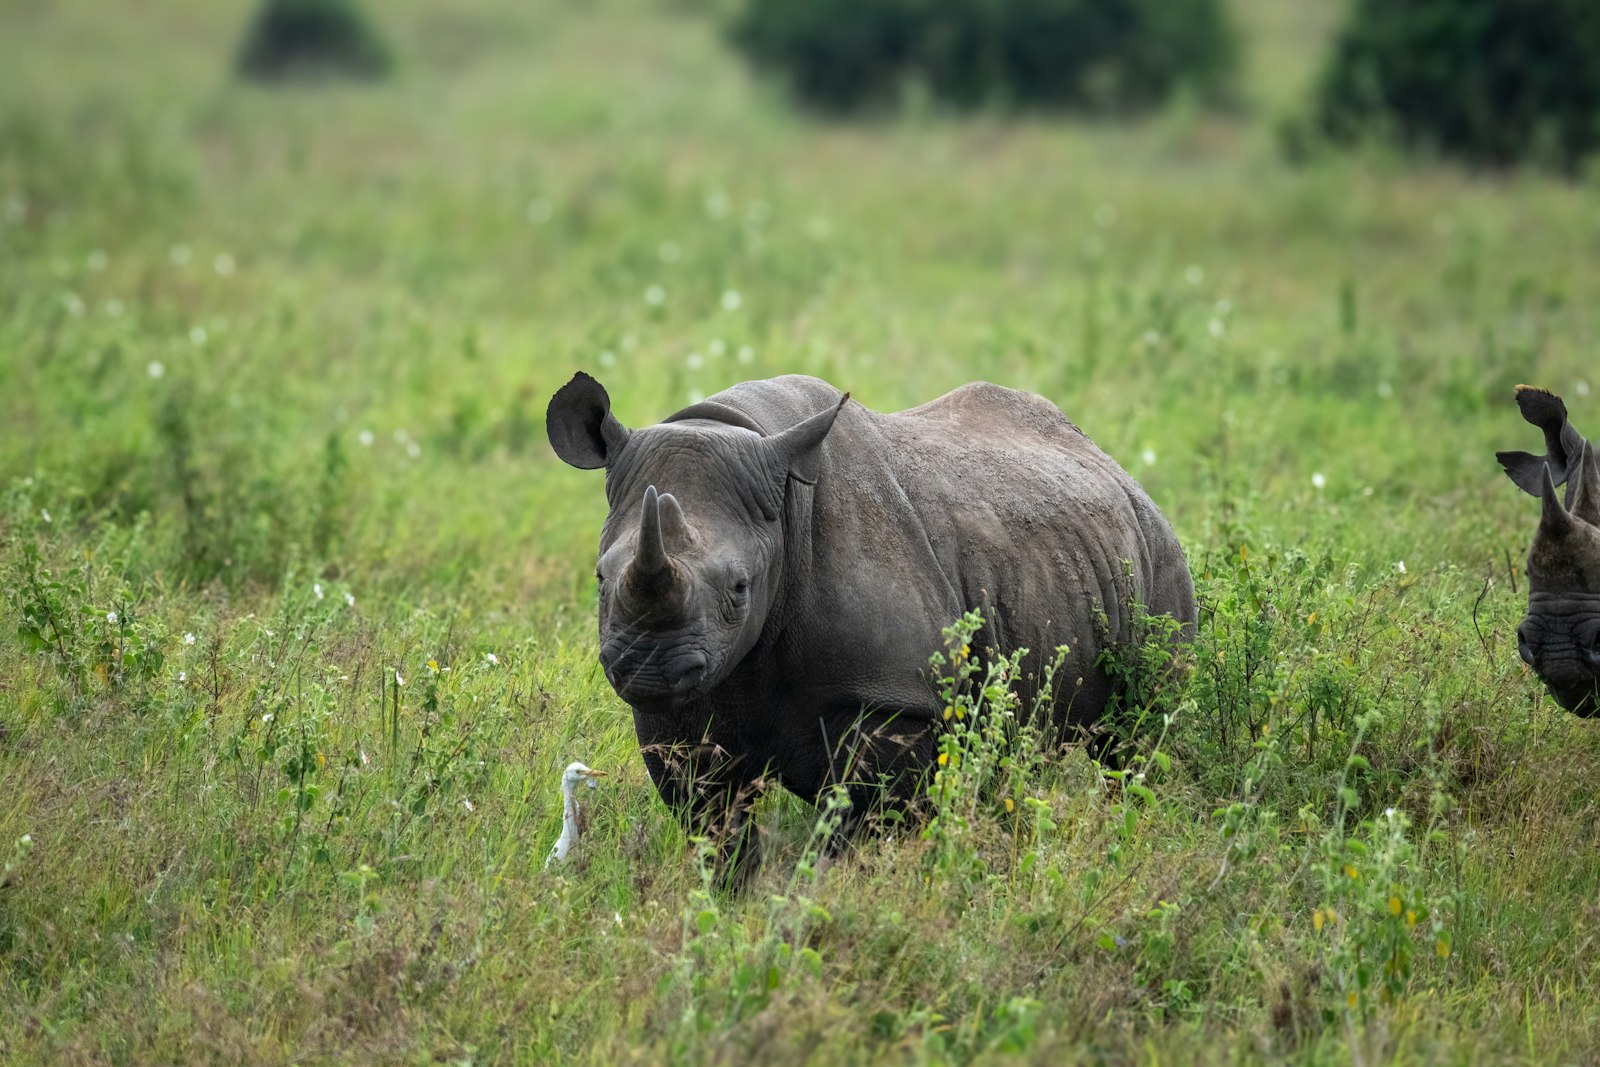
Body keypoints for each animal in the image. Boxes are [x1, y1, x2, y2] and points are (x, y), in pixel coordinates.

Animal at [547, 372, 1197, 874]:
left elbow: (862, 829)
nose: (647, 668)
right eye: (601, 578)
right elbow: (717, 829)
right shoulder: (678, 711)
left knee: (1140, 732)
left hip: (1158, 554)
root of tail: (1115, 468)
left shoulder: (893, 699)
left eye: (740, 588)